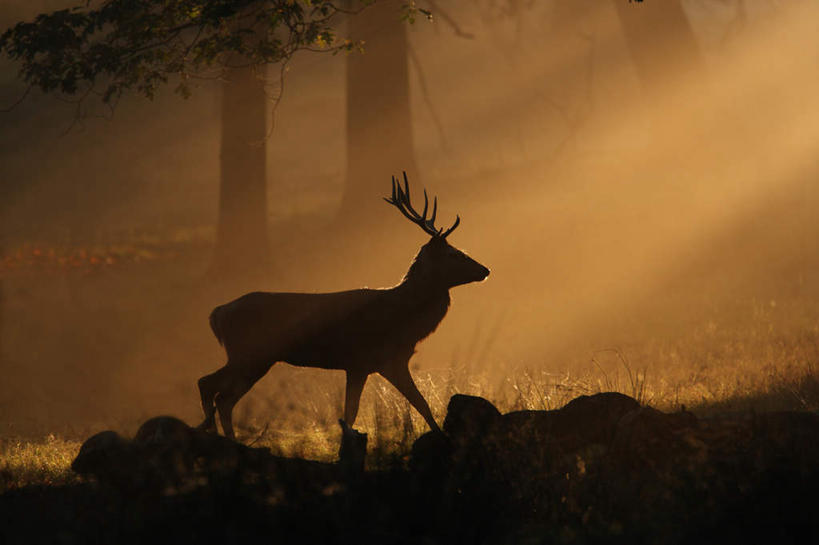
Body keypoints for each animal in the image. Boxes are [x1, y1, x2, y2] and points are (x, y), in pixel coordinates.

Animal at [199, 173, 490, 438]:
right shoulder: (373, 360)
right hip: (249, 354)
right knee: (212, 388)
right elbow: (408, 406)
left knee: (219, 394)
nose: (485, 269)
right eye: (454, 253)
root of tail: (217, 314)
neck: (402, 318)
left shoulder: (371, 364)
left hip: (252, 357)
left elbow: (374, 411)